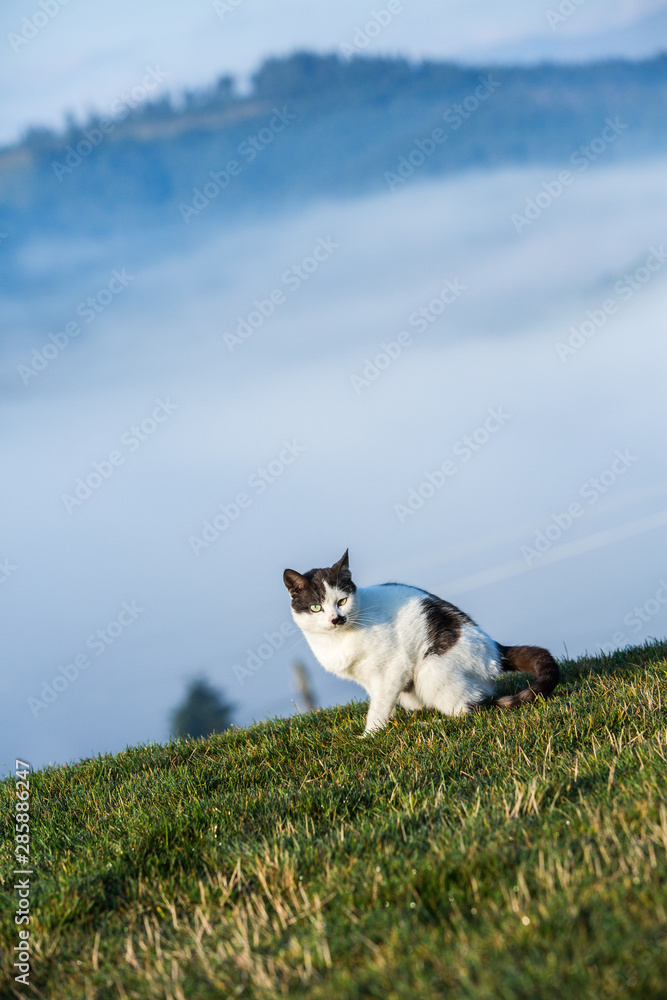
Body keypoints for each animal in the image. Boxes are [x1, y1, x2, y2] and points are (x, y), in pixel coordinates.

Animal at [284, 548, 560, 736]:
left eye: (342, 601)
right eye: (316, 607)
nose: (336, 618)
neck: (337, 640)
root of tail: (494, 648)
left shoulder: (394, 667)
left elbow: (379, 704)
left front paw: (371, 734)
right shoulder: (368, 679)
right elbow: (381, 699)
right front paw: (387, 724)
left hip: (432, 669)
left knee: (468, 710)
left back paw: (432, 723)